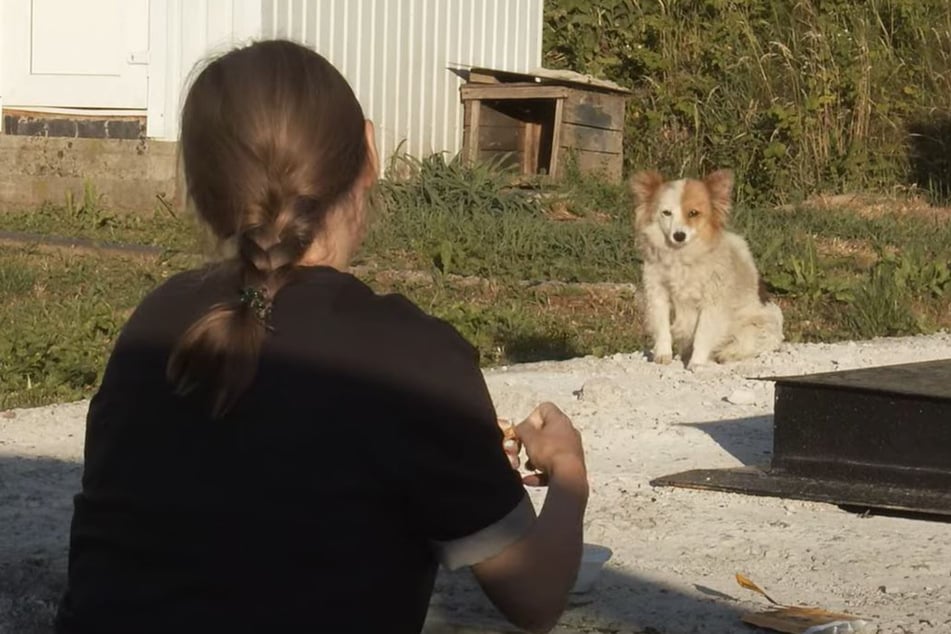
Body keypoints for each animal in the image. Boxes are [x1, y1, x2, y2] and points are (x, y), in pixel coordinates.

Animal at [632, 168, 780, 368]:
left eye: (693, 213)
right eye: (666, 213)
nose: (679, 235)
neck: (682, 257)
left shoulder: (712, 302)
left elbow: (702, 335)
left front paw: (697, 363)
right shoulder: (657, 293)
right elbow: (662, 328)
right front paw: (663, 354)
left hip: (760, 325)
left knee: (745, 343)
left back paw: (727, 354)